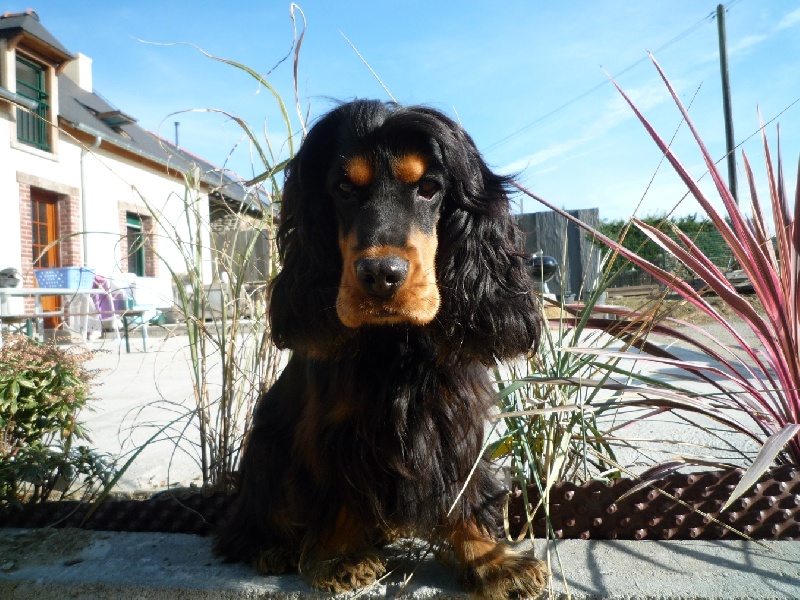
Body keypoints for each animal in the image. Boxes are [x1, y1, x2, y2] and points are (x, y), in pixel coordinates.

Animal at [215, 100, 547, 598]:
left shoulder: (455, 419)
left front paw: (491, 559)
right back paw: (273, 547)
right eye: (343, 189)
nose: (380, 275)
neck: (394, 342)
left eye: (429, 188)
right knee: (254, 514)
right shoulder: (333, 429)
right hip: (267, 445)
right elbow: (337, 488)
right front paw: (340, 556)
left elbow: (463, 488)